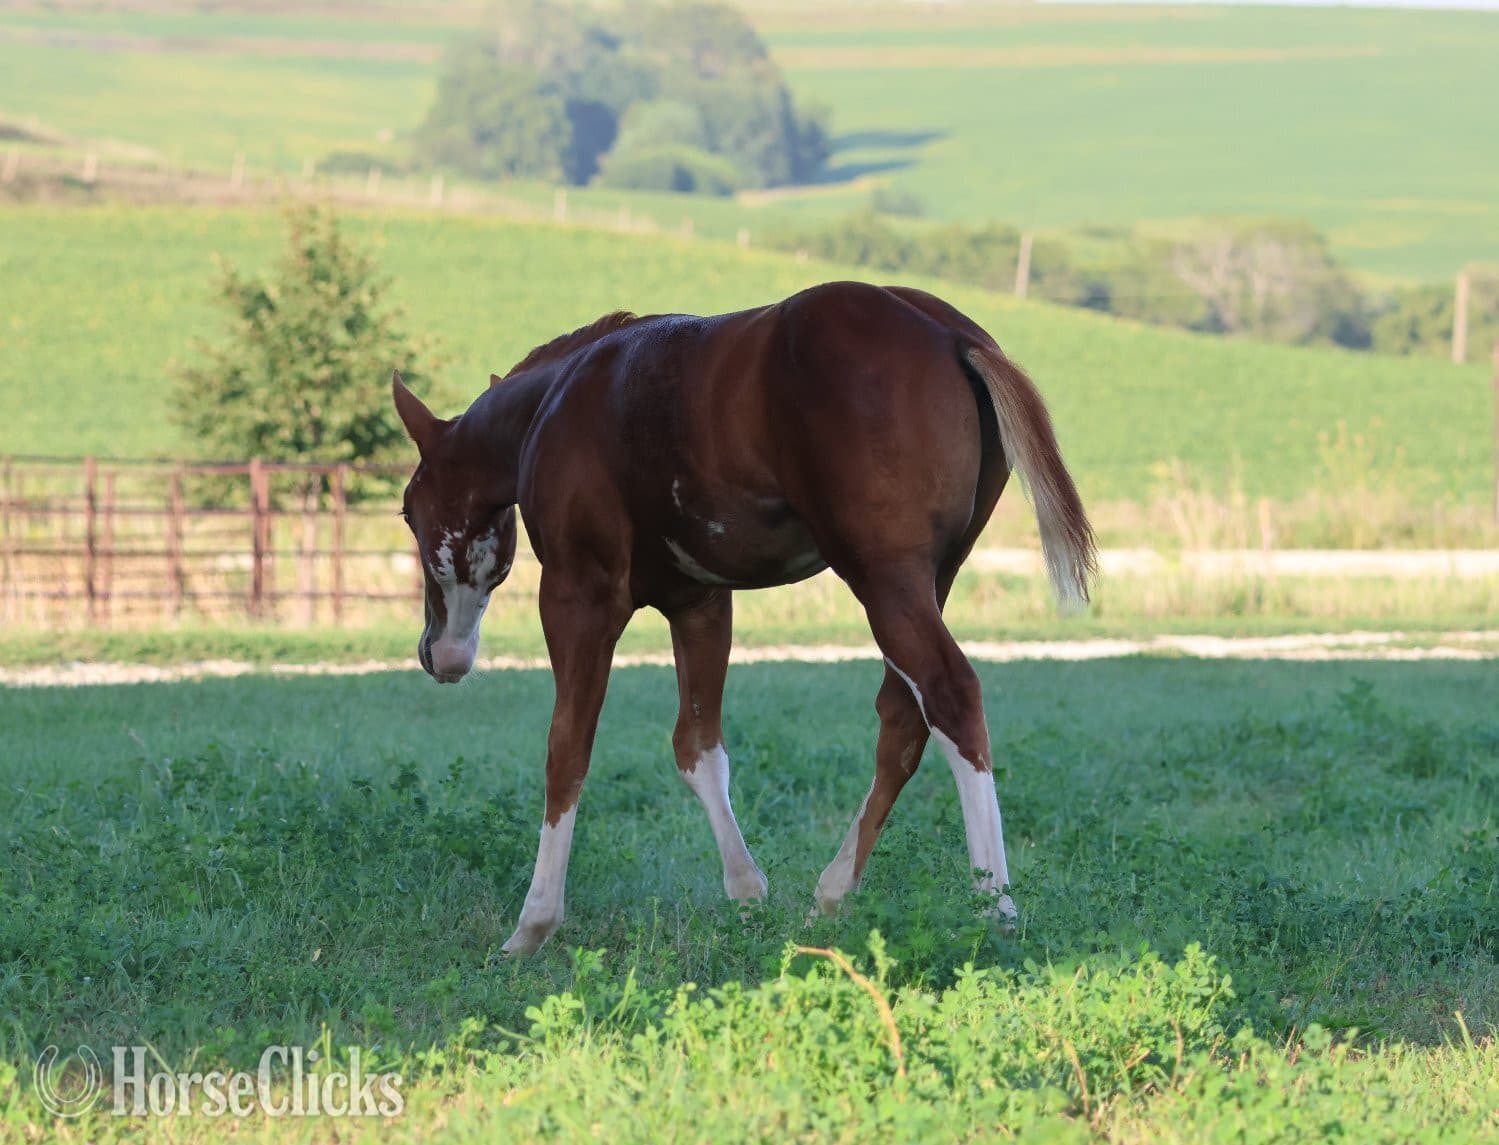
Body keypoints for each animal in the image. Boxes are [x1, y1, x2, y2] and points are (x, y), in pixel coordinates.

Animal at [392, 280, 1095, 955]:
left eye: (407, 509)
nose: (439, 655)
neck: (559, 403)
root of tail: (950, 333)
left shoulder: (578, 594)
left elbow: (567, 746)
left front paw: (534, 924)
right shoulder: (699, 602)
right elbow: (698, 747)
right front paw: (748, 894)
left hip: (885, 580)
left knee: (951, 695)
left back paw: (996, 910)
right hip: (930, 580)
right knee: (904, 719)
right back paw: (831, 896)